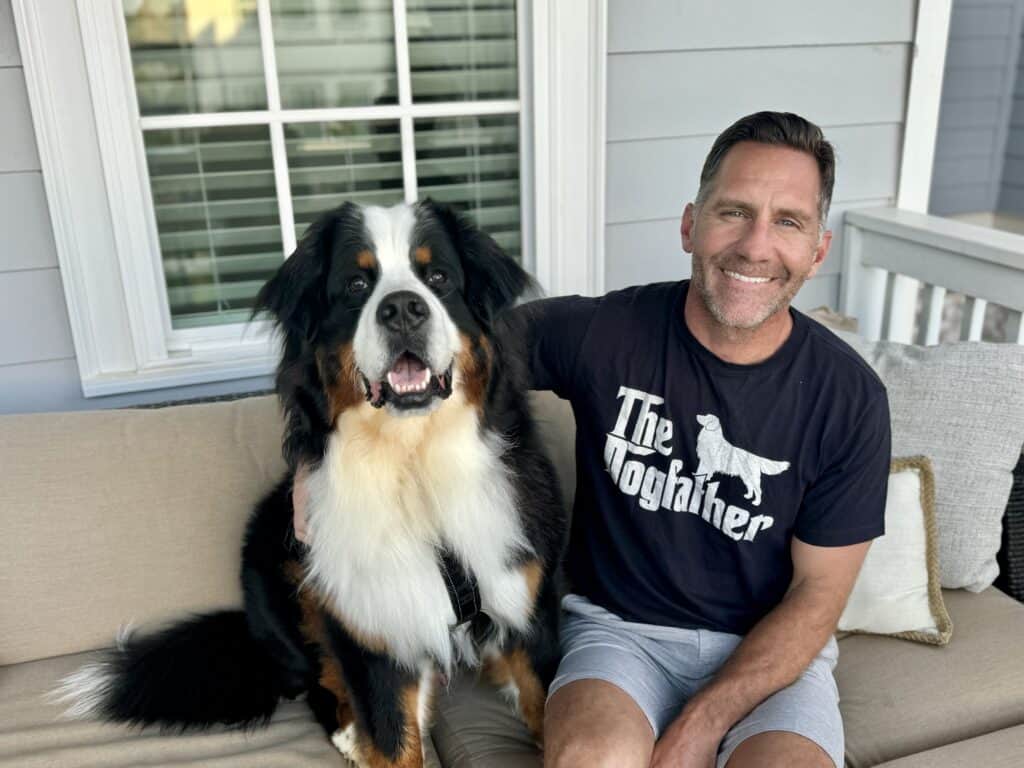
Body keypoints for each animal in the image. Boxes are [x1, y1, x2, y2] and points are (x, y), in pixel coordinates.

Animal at [58, 201, 569, 765]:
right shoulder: (371, 630)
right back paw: (349, 735)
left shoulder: (530, 610)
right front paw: (371, 741)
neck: (414, 465)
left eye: (437, 277)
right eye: (356, 285)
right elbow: (391, 737)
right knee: (314, 682)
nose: (403, 309)